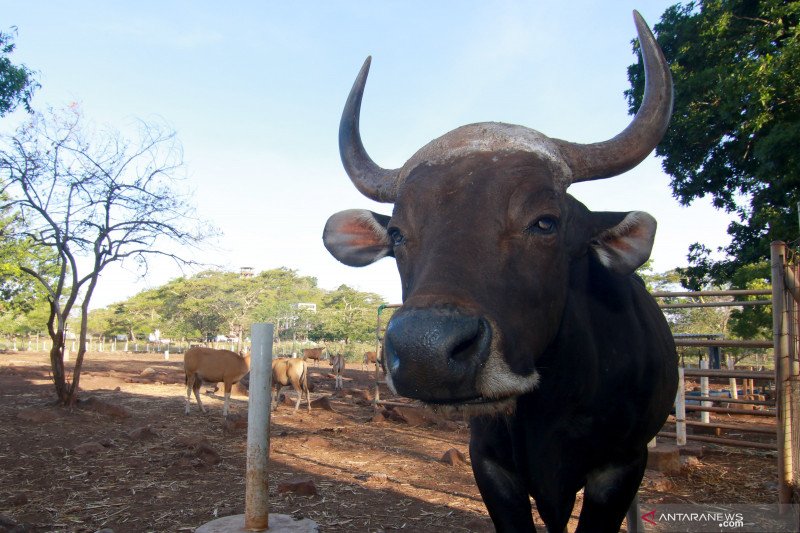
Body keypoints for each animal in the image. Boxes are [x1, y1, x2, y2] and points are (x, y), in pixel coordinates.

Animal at [322, 12, 680, 532]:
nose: (426, 353)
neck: (552, 404)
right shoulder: (490, 466)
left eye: (545, 222)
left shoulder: (621, 466)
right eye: (398, 234)